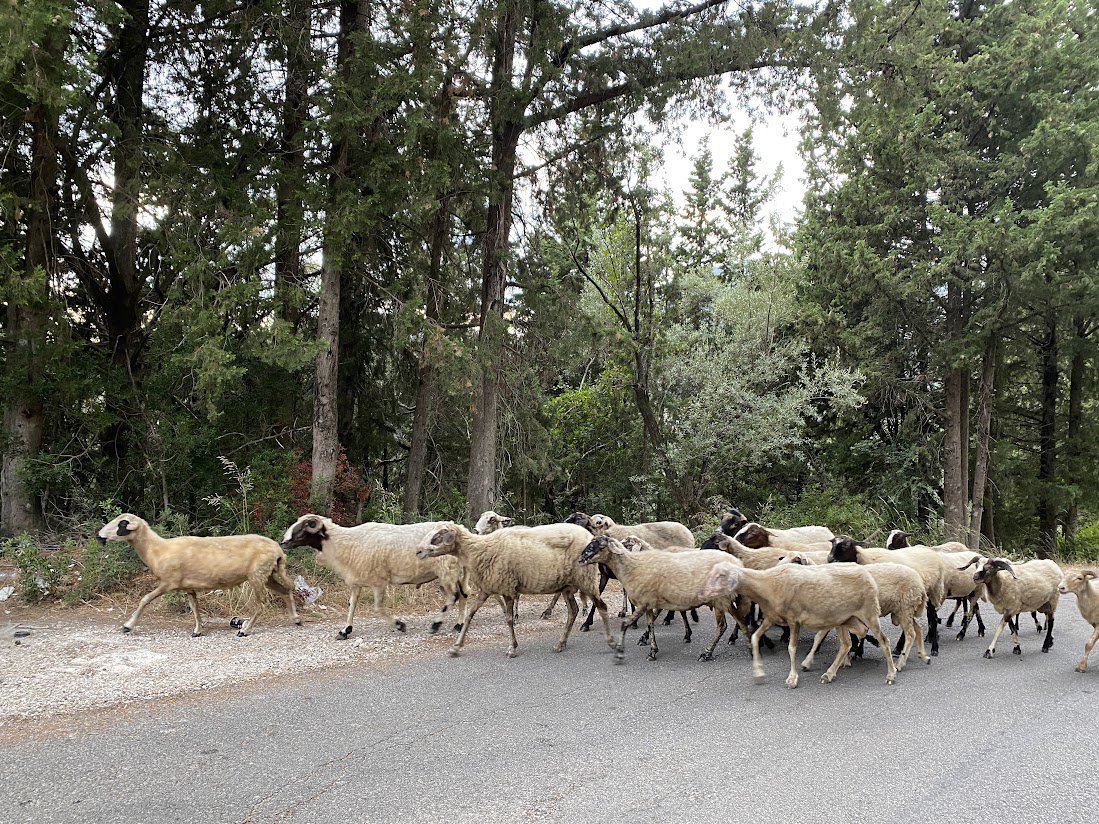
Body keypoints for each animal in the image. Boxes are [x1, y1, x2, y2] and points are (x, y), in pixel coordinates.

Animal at [98, 516, 301, 637]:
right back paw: (296, 619)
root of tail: (278, 551)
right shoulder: (189, 587)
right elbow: (195, 607)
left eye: (121, 524)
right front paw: (197, 630)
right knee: (285, 590)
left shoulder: (168, 583)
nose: (99, 536)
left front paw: (127, 626)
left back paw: (245, 630)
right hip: (268, 574)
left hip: (257, 575)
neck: (156, 549)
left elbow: (144, 600)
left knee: (262, 604)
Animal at [281, 514, 461, 641]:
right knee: (461, 597)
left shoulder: (378, 582)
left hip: (447, 571)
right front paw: (345, 631)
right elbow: (351, 605)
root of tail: (458, 527)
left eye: (303, 527)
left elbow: (377, 609)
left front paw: (400, 625)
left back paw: (438, 625)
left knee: (455, 596)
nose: (283, 543)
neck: (344, 543)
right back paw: (457, 625)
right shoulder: (356, 582)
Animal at [415, 522, 619, 659]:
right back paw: (560, 644)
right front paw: (456, 647)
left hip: (586, 579)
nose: (418, 551)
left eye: (438, 535)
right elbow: (470, 615)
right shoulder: (487, 589)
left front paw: (512, 648)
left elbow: (508, 619)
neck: (479, 550)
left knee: (602, 606)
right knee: (573, 611)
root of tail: (588, 535)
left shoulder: (507, 587)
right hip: (567, 586)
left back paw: (611, 641)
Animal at [575, 536, 747, 663]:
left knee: (722, 626)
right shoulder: (649, 603)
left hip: (720, 599)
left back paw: (707, 653)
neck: (633, 566)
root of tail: (738, 563)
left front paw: (619, 651)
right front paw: (652, 650)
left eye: (597, 545)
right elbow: (650, 625)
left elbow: (625, 625)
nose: (580, 559)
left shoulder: (643, 603)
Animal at [703, 562, 892, 689]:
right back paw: (829, 674)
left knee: (884, 640)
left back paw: (890, 674)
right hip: (844, 619)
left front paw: (792, 679)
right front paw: (758, 674)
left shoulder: (794, 620)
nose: (703, 594)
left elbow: (791, 648)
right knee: (847, 643)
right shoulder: (772, 617)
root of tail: (867, 574)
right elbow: (756, 637)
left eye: (721, 576)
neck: (768, 585)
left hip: (869, 612)